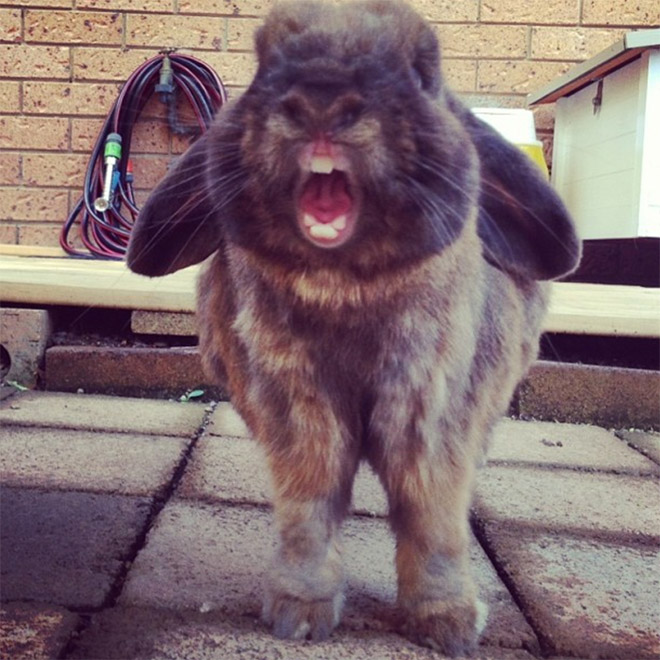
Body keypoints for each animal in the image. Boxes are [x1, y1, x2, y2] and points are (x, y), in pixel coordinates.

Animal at [126, 0, 580, 648]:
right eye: (262, 62)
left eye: (423, 70)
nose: (321, 97)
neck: (347, 289)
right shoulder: (299, 411)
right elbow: (310, 504)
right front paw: (298, 614)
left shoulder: (433, 415)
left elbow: (432, 512)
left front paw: (447, 624)